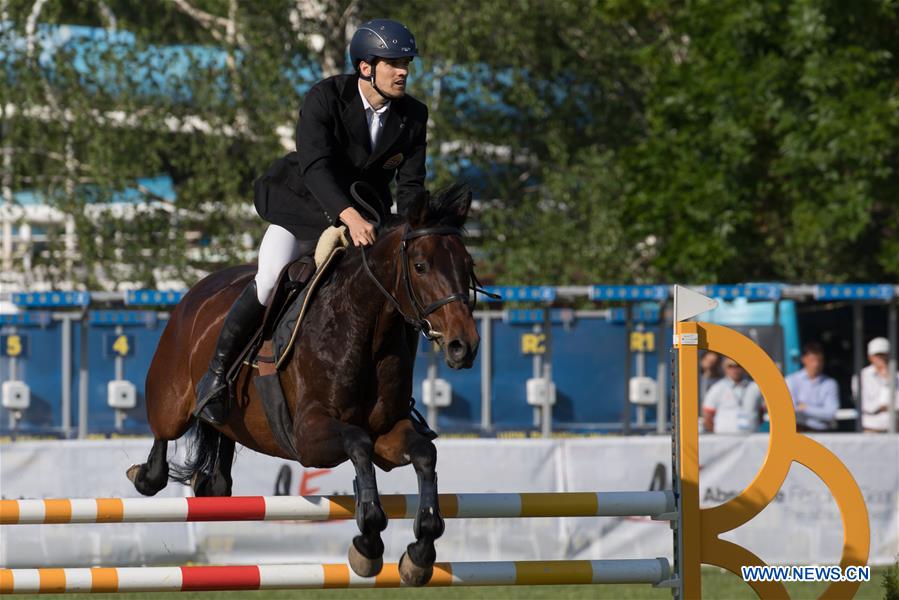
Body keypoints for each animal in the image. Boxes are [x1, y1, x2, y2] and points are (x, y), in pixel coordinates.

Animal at [126, 184, 486, 584]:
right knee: (161, 445)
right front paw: (368, 542)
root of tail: (197, 291)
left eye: (467, 266)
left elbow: (424, 454)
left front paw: (420, 552)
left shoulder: (388, 432)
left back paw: (210, 470)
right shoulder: (309, 436)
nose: (463, 346)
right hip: (171, 401)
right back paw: (147, 471)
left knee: (218, 473)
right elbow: (357, 444)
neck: (365, 328)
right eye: (421, 266)